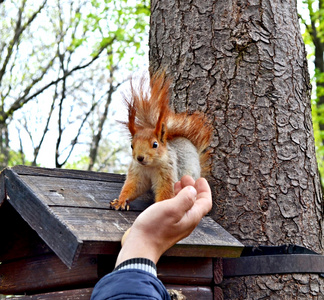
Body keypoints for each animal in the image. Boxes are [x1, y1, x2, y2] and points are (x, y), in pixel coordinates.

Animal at [110, 71, 214, 210]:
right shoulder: (137, 172)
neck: (150, 166)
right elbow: (134, 186)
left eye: (155, 144)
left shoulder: (168, 172)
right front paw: (120, 201)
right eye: (131, 145)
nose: (140, 158)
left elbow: (166, 190)